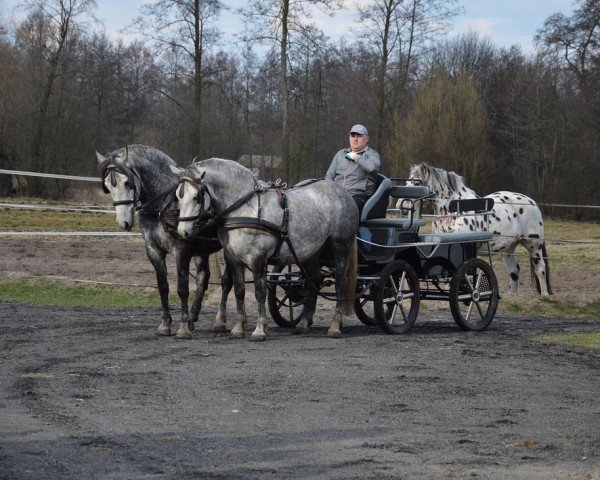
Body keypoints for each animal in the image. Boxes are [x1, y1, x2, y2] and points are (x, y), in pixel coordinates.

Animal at [96, 145, 232, 338]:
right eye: (107, 186)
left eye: (127, 183)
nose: (123, 222)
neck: (163, 207)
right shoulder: (153, 250)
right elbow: (163, 286)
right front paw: (166, 324)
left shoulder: (181, 250)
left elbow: (182, 288)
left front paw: (182, 328)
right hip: (201, 250)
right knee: (203, 278)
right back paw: (193, 316)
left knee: (227, 282)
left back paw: (220, 321)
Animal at [170, 159, 356, 340]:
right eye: (178, 196)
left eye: (196, 197)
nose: (183, 232)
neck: (245, 208)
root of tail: (344, 193)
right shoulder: (233, 258)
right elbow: (239, 291)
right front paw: (238, 329)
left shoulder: (257, 257)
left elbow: (260, 292)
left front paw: (259, 330)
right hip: (311, 252)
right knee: (314, 282)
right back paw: (303, 325)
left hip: (339, 247)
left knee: (340, 284)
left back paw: (334, 327)